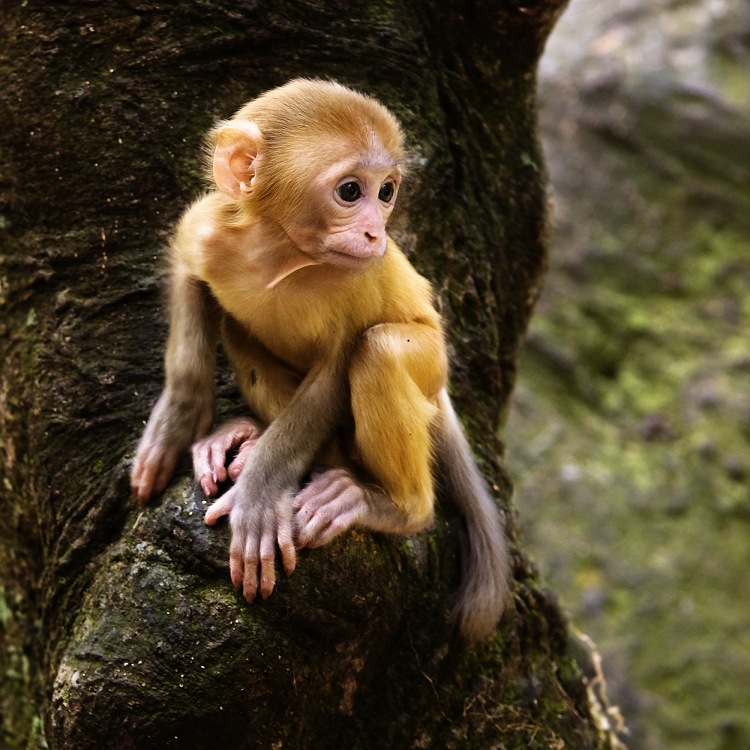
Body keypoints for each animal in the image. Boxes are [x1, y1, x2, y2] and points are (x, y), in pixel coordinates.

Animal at [132, 81, 516, 640]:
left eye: (387, 192)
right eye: (351, 191)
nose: (377, 234)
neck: (281, 253)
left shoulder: (358, 279)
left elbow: (336, 370)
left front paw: (260, 493)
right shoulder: (207, 231)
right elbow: (188, 276)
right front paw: (177, 421)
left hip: (432, 362)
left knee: (377, 351)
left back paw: (390, 504)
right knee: (236, 326)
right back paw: (248, 433)